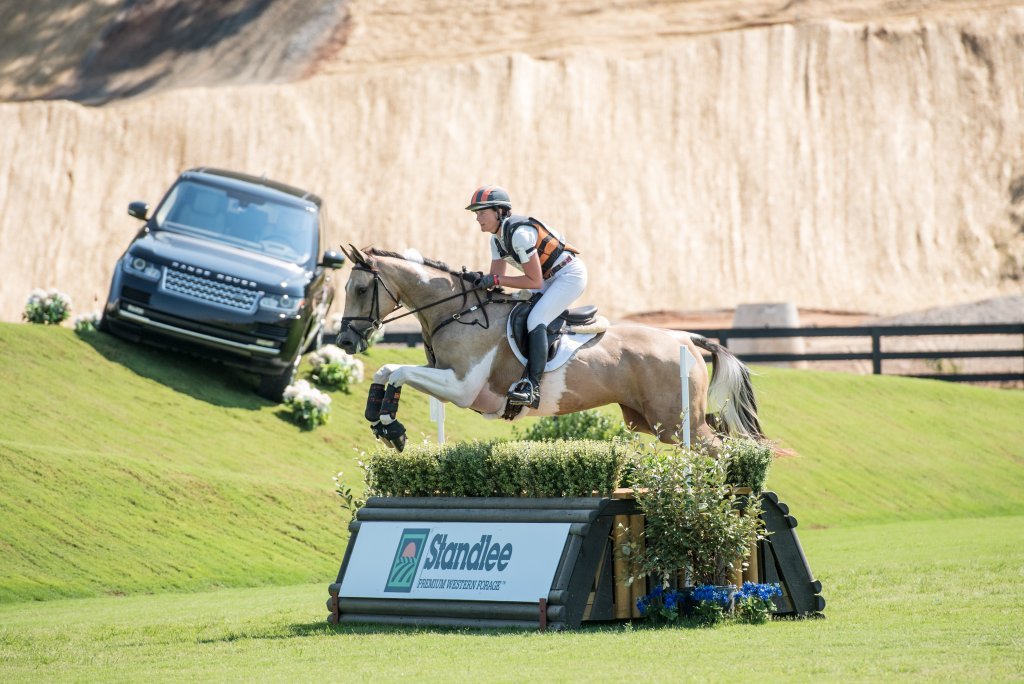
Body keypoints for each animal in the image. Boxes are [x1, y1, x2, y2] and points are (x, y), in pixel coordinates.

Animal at [335, 245, 764, 451]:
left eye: (361, 289)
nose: (345, 341)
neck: (457, 311)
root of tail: (684, 338)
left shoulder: (461, 387)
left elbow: (399, 371)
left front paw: (391, 428)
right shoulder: (448, 381)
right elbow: (388, 371)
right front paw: (383, 422)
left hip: (675, 422)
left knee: (720, 447)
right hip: (650, 420)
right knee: (720, 433)